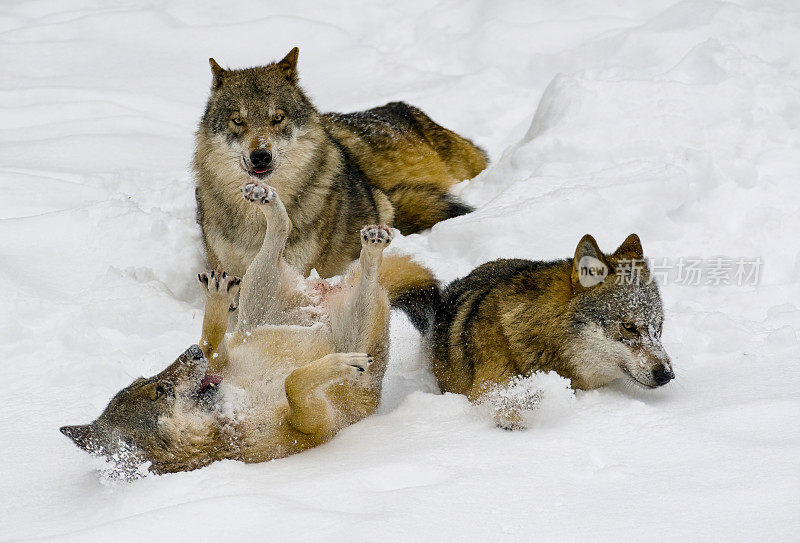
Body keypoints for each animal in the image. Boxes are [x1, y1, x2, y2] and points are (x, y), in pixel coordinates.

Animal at [61, 181, 432, 474]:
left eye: (148, 379)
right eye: (160, 391)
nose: (190, 353)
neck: (227, 420)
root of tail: (320, 297)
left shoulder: (224, 359)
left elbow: (215, 342)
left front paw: (213, 311)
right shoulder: (313, 426)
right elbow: (293, 382)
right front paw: (339, 364)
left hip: (255, 295)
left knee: (283, 229)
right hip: (361, 324)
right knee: (365, 271)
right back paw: (371, 248)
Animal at [194, 48, 488, 282]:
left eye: (277, 118)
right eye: (237, 120)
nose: (261, 156)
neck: (258, 217)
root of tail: (407, 108)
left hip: (386, 201)